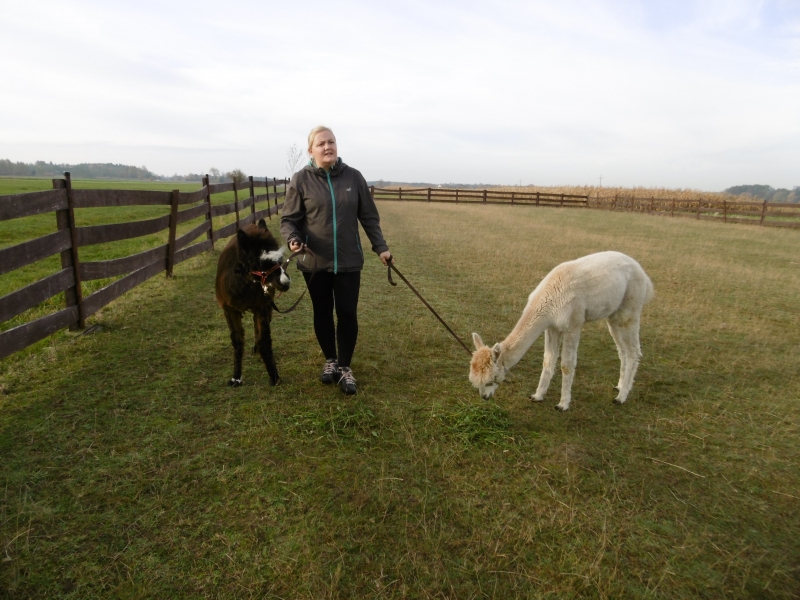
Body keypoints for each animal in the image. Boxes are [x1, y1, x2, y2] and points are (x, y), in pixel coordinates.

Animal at [469, 251, 654, 411]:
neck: (550, 298)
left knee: (633, 352)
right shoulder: (552, 327)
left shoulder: (573, 324)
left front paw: (563, 404)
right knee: (622, 351)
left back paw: (621, 397)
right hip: (613, 316)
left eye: (490, 380)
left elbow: (567, 365)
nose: (484, 397)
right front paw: (537, 396)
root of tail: (643, 274)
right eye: (475, 379)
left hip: (631, 307)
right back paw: (620, 386)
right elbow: (548, 361)